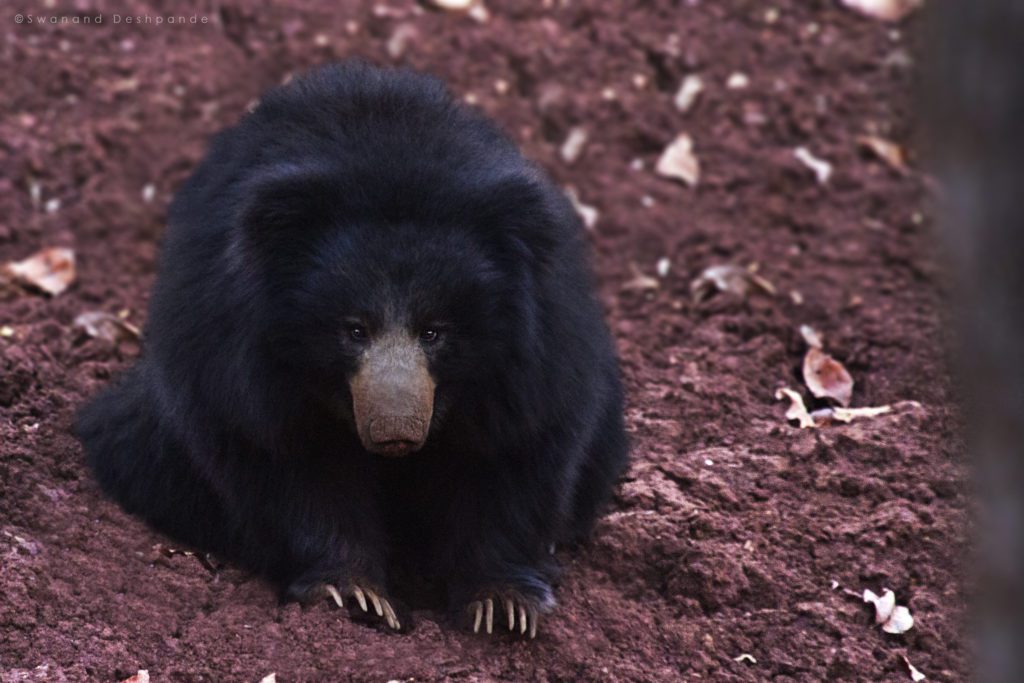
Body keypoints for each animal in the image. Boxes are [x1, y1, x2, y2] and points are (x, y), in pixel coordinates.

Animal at [75, 61, 626, 638]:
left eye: (435, 331)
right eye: (354, 330)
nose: (395, 430)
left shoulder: (535, 362)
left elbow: (512, 454)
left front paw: (503, 605)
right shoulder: (237, 364)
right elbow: (289, 462)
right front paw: (354, 594)